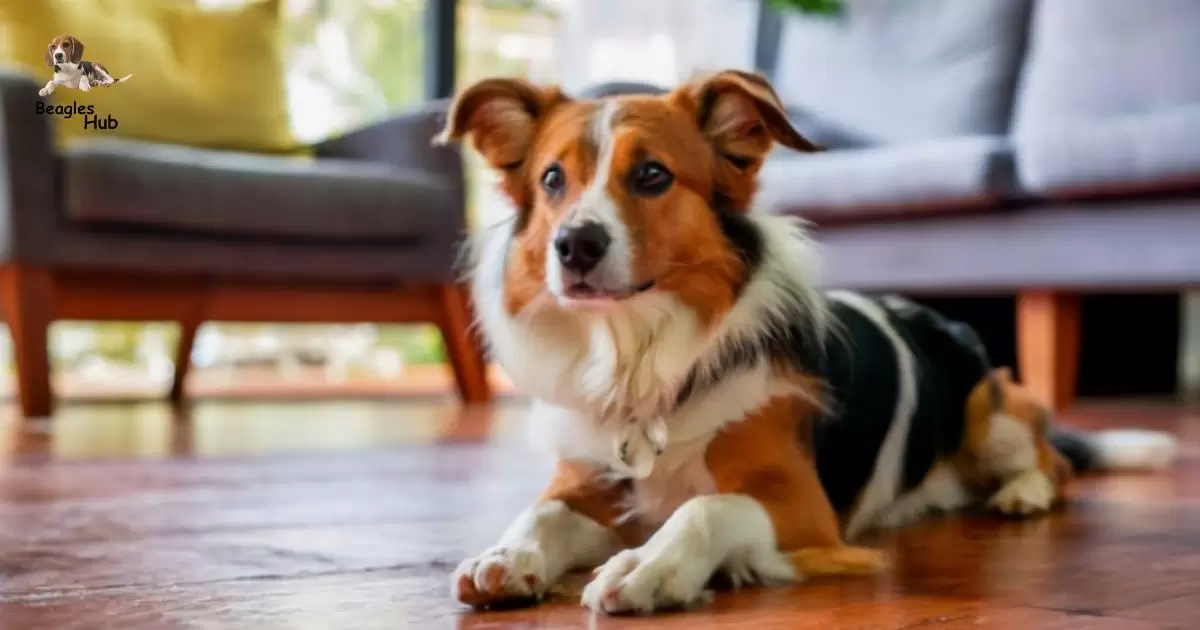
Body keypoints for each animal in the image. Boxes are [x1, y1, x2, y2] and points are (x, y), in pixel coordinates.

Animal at [434, 69, 1180, 614]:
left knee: (1053, 462)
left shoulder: (803, 512)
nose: (574, 246)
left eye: (651, 175)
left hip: (989, 414)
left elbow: (706, 505)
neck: (641, 356)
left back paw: (1022, 493)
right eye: (552, 180)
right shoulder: (585, 478)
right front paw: (506, 556)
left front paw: (649, 564)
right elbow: (543, 514)